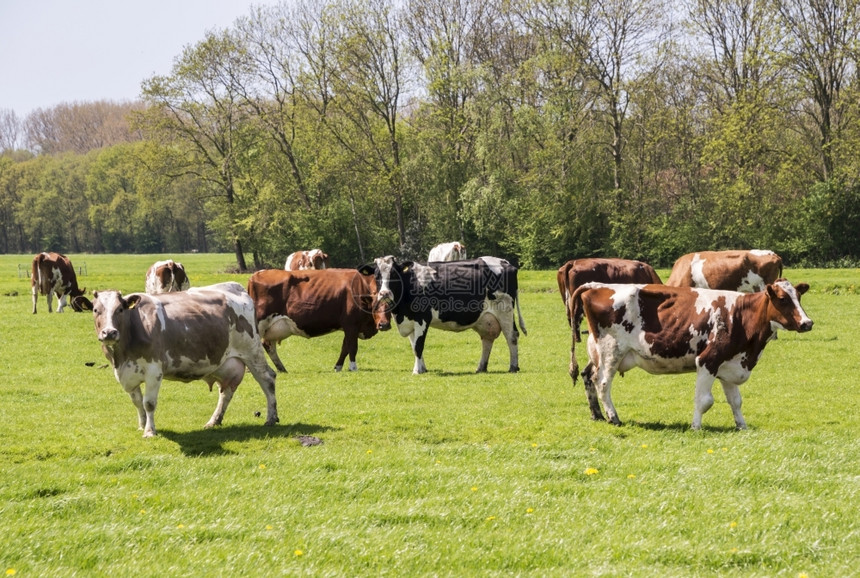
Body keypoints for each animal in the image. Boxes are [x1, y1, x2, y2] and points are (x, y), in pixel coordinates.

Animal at [85, 282, 278, 434]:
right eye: (95, 310)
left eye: (120, 309)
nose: (109, 332)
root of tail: (236, 287)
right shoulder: (127, 373)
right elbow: (138, 402)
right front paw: (142, 426)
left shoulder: (154, 371)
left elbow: (149, 403)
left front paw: (150, 431)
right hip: (225, 363)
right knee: (227, 390)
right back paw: (214, 421)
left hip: (251, 350)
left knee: (267, 379)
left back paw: (271, 417)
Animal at [249, 268, 382, 372]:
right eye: (376, 304)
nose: (383, 324)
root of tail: (256, 274)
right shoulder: (351, 324)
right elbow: (352, 347)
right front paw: (353, 368)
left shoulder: (349, 327)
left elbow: (345, 347)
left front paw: (338, 367)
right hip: (259, 324)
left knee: (268, 345)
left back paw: (281, 369)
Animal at [358, 253, 532, 372]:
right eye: (377, 275)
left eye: (394, 274)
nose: (384, 293)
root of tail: (506, 262)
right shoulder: (409, 320)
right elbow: (414, 346)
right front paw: (422, 368)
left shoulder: (422, 318)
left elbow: (418, 346)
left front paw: (417, 371)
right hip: (486, 318)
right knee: (487, 339)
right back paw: (481, 368)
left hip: (505, 310)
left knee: (511, 336)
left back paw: (513, 367)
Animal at [572, 280, 812, 428]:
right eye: (782, 299)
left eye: (799, 297)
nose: (807, 323)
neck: (740, 316)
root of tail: (597, 285)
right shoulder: (707, 361)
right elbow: (704, 400)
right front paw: (696, 426)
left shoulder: (730, 364)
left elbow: (736, 401)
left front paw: (741, 426)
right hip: (611, 351)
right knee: (602, 383)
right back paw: (613, 417)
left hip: (597, 353)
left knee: (587, 376)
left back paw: (597, 414)